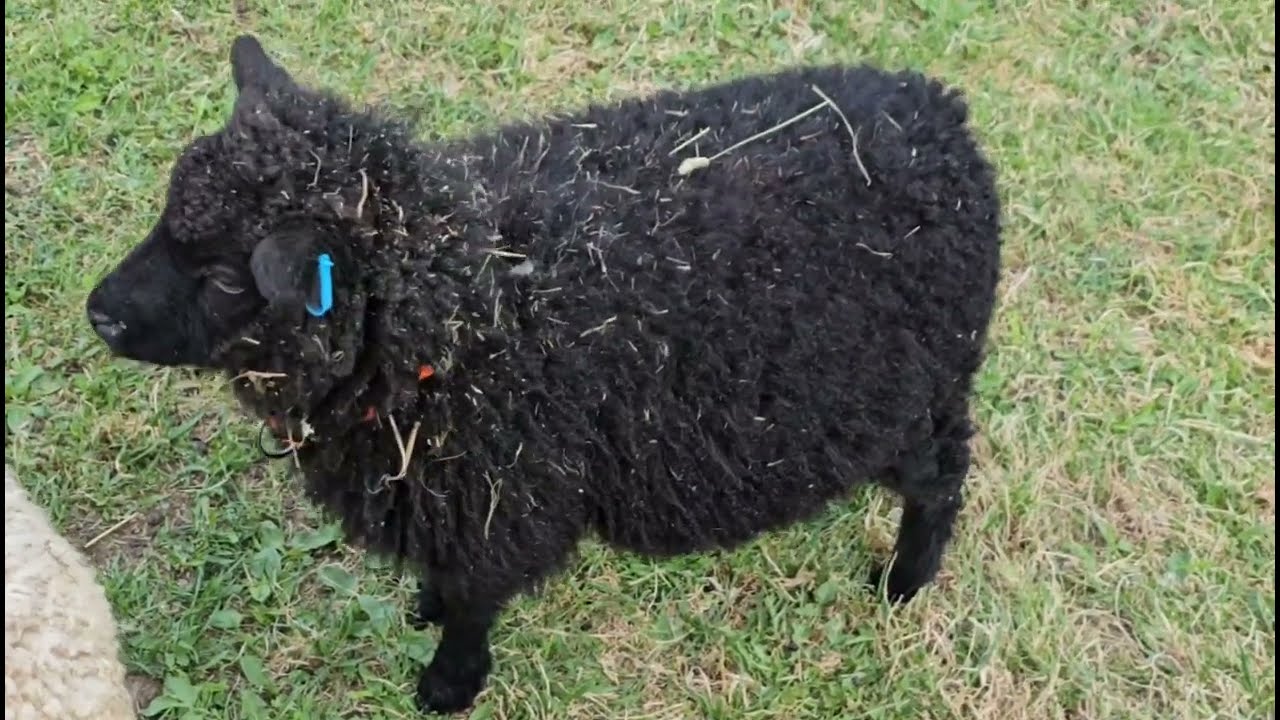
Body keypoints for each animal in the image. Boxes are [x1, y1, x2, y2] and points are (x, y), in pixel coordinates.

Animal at [84, 34, 1002, 715]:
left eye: (227, 279)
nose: (99, 313)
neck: (462, 300)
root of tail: (946, 115)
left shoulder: (502, 496)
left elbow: (473, 603)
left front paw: (447, 685)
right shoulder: (445, 491)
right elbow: (445, 579)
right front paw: (424, 607)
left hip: (907, 394)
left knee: (942, 479)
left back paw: (904, 582)